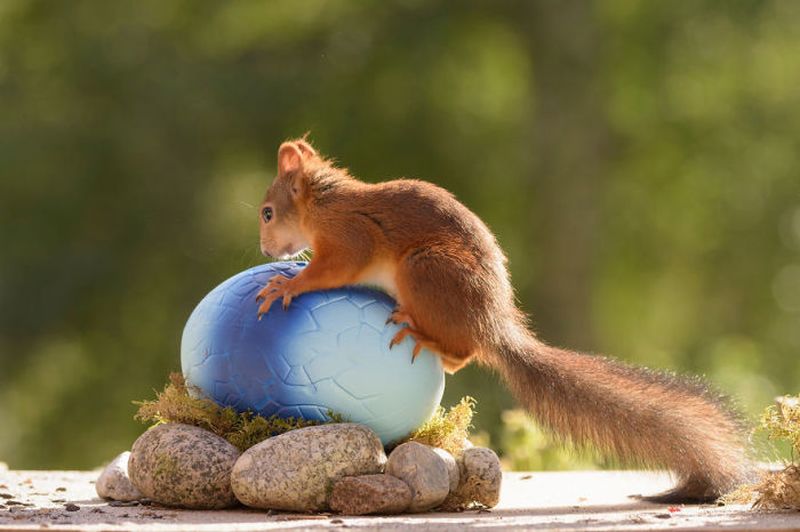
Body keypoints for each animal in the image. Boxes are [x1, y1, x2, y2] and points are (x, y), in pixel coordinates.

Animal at [255, 138, 752, 502]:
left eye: (267, 212)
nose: (263, 249)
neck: (325, 202)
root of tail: (492, 323)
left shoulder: (351, 236)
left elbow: (334, 268)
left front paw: (287, 285)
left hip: (427, 270)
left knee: (463, 352)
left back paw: (423, 335)